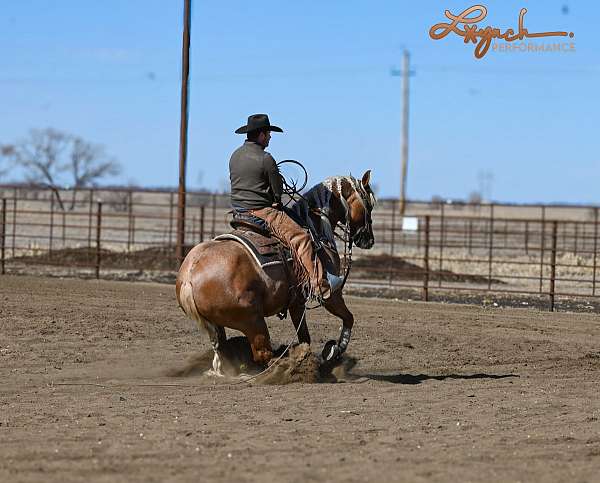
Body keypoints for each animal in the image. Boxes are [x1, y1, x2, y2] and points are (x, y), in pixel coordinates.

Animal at [176, 170, 378, 374]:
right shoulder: (332, 295)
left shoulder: (297, 302)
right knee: (263, 354)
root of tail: (189, 275)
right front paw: (333, 351)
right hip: (252, 321)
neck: (316, 229)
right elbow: (349, 318)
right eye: (369, 205)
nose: (368, 240)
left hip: (218, 326)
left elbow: (305, 337)